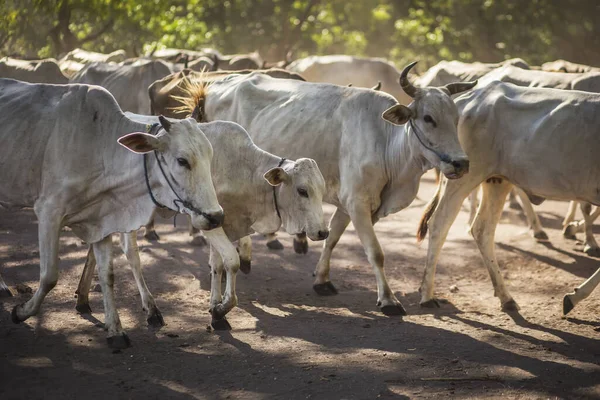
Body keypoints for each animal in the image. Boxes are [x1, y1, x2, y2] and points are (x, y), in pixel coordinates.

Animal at [76, 112, 328, 328]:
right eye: (302, 190)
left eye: (322, 190)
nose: (323, 232)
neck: (244, 169)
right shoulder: (207, 222)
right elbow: (232, 261)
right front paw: (221, 309)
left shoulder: (219, 221)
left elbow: (217, 265)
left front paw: (216, 308)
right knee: (131, 253)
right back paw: (151, 310)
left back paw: (82, 298)